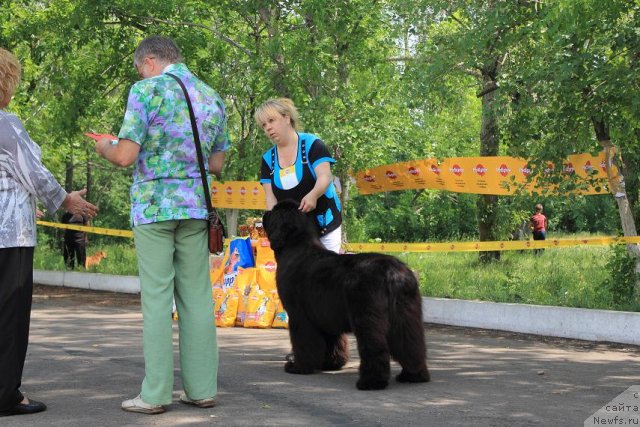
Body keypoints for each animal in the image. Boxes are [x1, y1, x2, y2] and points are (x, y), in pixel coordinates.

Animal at [262, 201, 432, 392]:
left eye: (275, 212)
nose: (265, 212)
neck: (296, 246)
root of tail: (392, 273)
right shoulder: (325, 314)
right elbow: (333, 340)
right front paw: (331, 363)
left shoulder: (299, 314)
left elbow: (303, 341)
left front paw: (298, 367)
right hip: (406, 315)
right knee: (411, 344)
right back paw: (413, 375)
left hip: (366, 316)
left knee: (374, 347)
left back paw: (371, 382)